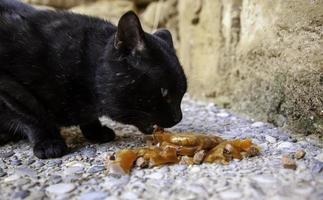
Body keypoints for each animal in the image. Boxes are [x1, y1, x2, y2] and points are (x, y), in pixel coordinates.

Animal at [0, 0, 187, 159]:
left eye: (183, 93)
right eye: (164, 92)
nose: (178, 117)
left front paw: (96, 132)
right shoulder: (10, 86)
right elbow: (33, 114)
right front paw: (49, 143)